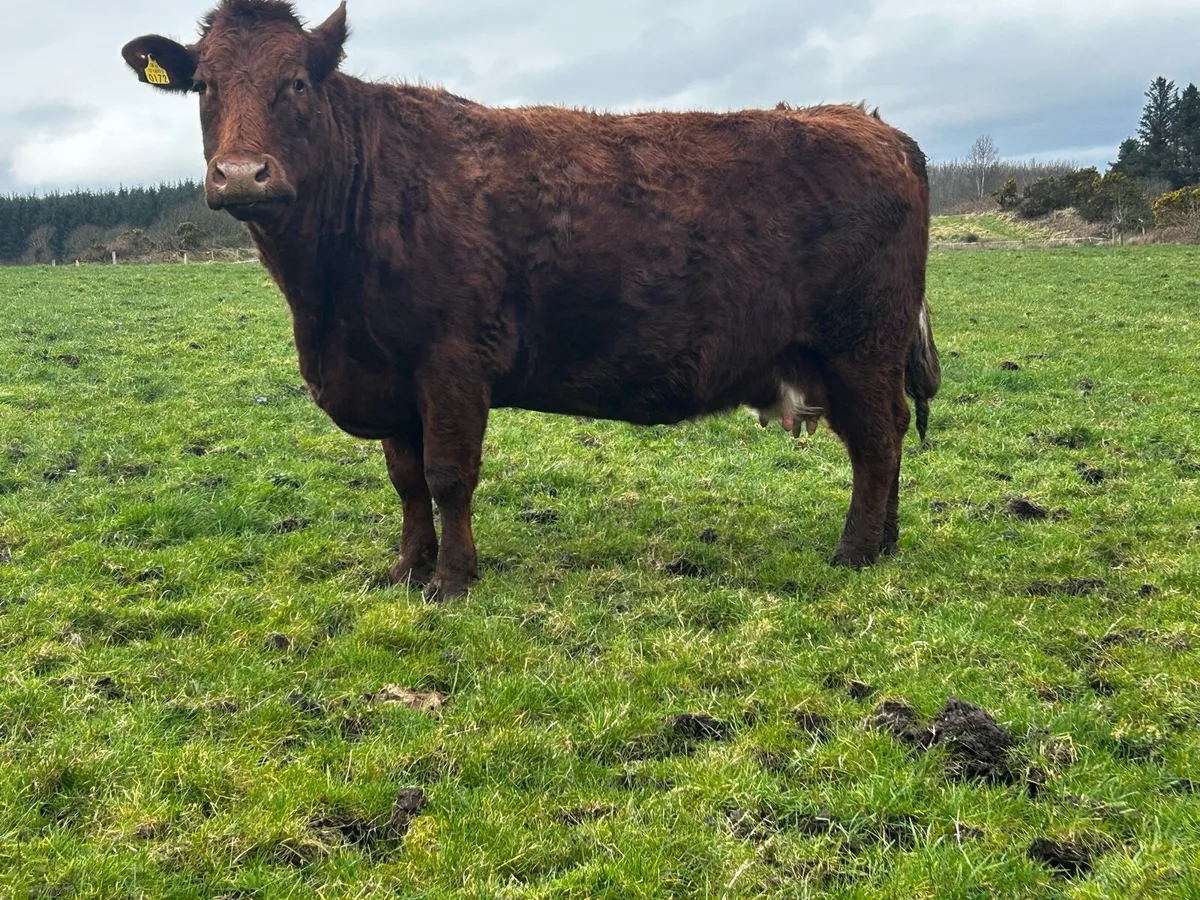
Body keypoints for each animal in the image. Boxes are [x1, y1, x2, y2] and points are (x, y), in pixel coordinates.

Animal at [122, 0, 941, 601]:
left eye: (296, 82)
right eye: (204, 86)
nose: (241, 174)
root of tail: (867, 122)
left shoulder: (452, 363)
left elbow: (448, 474)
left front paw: (453, 581)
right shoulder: (390, 377)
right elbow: (406, 480)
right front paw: (406, 570)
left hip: (860, 345)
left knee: (877, 440)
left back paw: (854, 552)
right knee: (887, 436)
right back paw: (886, 543)